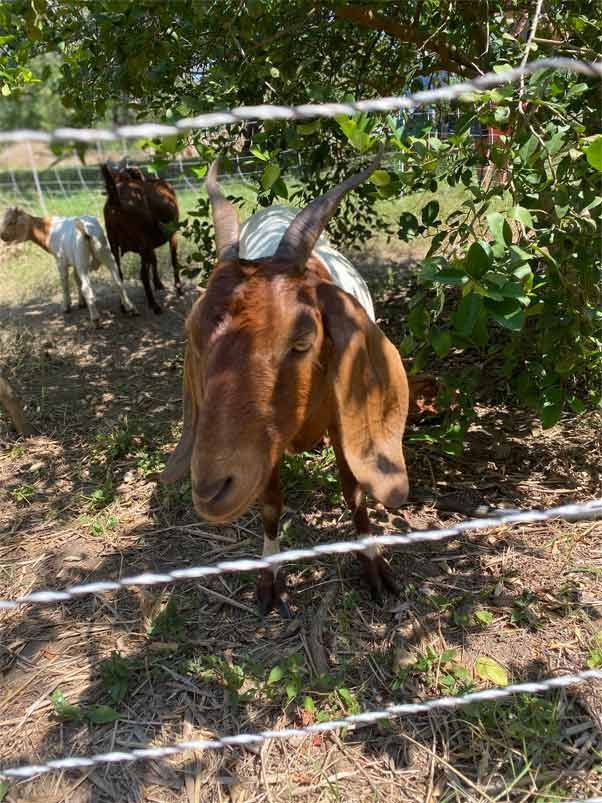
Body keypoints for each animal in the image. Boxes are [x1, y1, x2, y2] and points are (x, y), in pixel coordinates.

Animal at [0, 207, 137, 325]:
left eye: (12, 222)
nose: (2, 236)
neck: (47, 230)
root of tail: (86, 230)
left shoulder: (60, 260)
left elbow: (64, 280)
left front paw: (66, 306)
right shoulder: (75, 263)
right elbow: (75, 278)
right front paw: (81, 303)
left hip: (82, 260)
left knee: (87, 288)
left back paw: (95, 319)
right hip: (106, 254)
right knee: (118, 282)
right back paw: (130, 309)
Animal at [100, 163, 181, 314]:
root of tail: (117, 201)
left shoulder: (149, 245)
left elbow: (154, 260)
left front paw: (159, 284)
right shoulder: (171, 235)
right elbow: (174, 262)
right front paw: (179, 289)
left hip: (114, 242)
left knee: (119, 275)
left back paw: (124, 305)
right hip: (143, 242)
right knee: (142, 275)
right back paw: (154, 305)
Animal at [161, 154, 410, 616]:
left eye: (301, 339)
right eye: (193, 335)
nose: (211, 489)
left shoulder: (344, 426)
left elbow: (355, 493)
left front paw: (373, 566)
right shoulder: (264, 445)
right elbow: (271, 505)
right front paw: (270, 579)